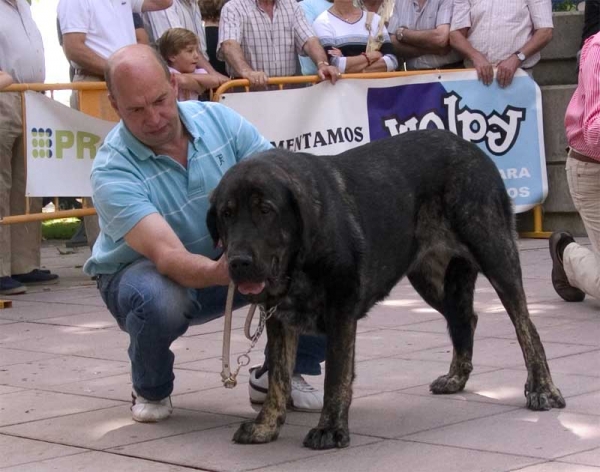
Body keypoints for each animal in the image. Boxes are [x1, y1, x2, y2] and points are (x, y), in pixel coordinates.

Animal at [205, 129, 564, 450]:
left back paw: (542, 388)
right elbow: (278, 376)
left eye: (265, 210)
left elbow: (336, 374)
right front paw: (266, 426)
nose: (238, 262)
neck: (300, 256)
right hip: (431, 279)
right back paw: (456, 378)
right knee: (466, 318)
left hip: (495, 254)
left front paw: (330, 429)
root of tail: (471, 148)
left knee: (525, 325)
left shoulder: (340, 311)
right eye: (226, 213)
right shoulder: (280, 318)